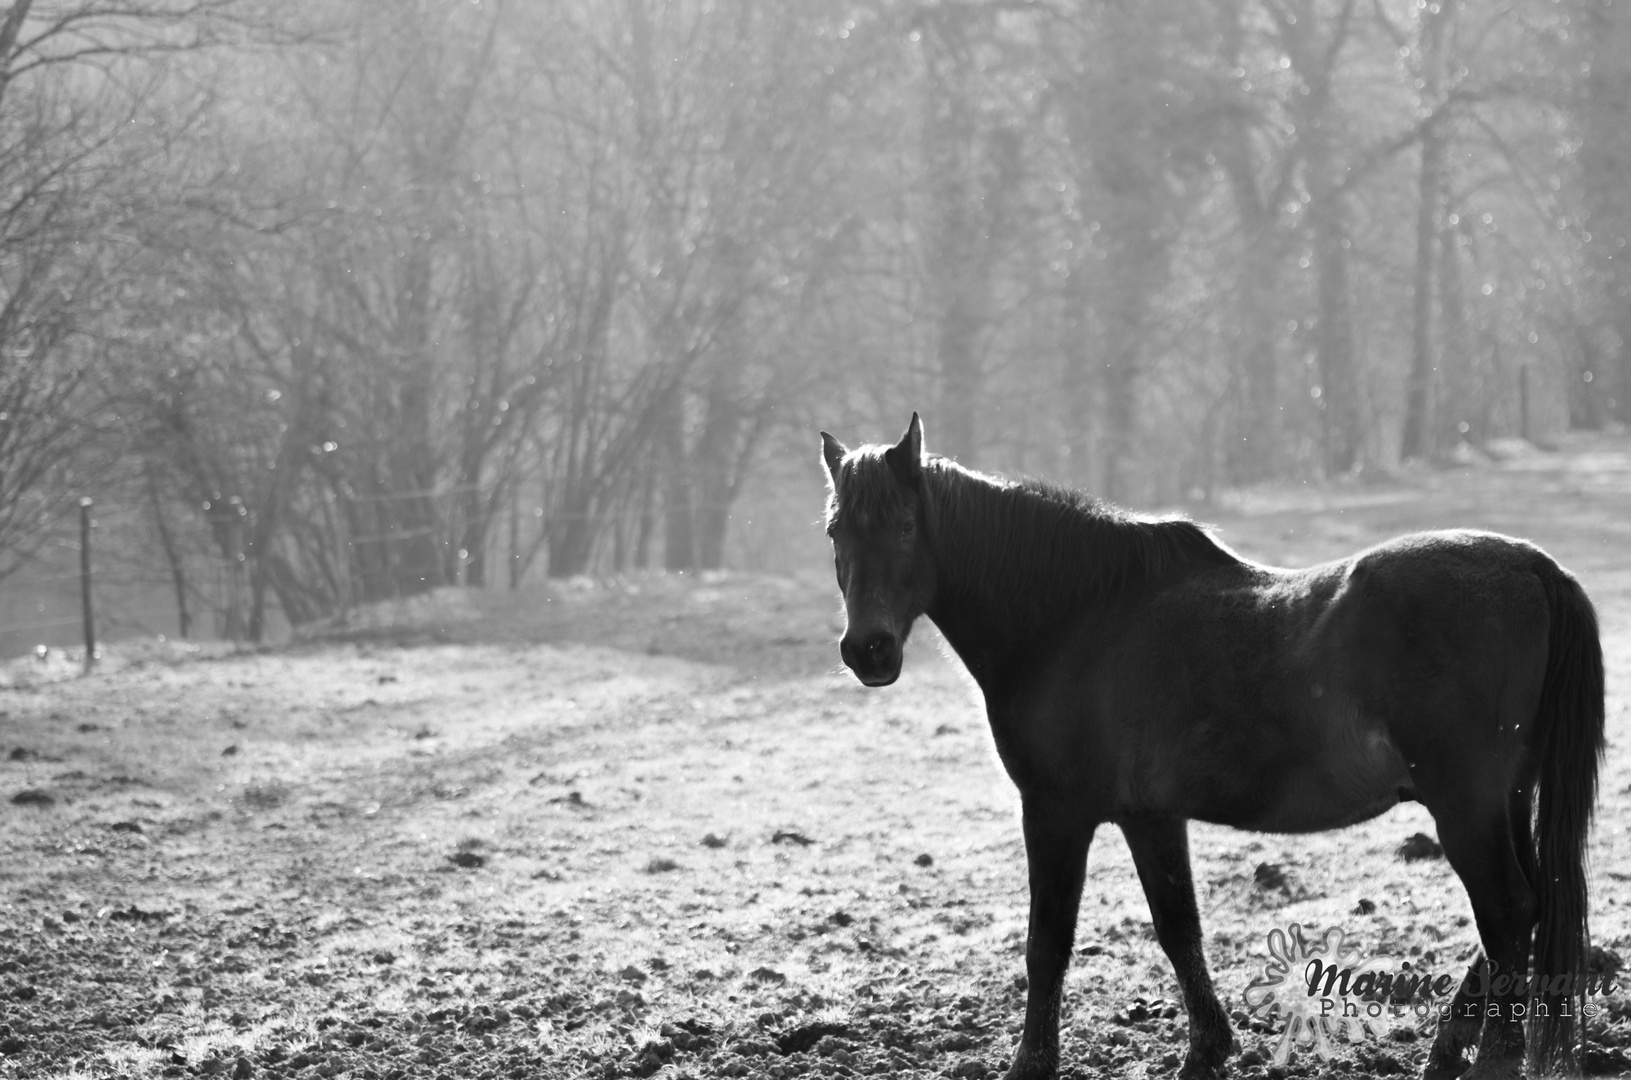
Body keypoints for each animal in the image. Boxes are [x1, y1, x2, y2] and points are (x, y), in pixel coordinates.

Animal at [822, 416, 1598, 1080]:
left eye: (904, 525)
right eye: (834, 531)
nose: (868, 651)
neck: (1077, 619)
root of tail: (1530, 566)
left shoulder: (1055, 813)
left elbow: (1048, 943)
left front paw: (1030, 1063)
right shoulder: (1150, 817)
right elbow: (1178, 929)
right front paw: (1207, 1049)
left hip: (1466, 806)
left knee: (1507, 913)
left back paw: (1488, 1057)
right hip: (1504, 800)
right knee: (1523, 913)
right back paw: (1450, 1047)